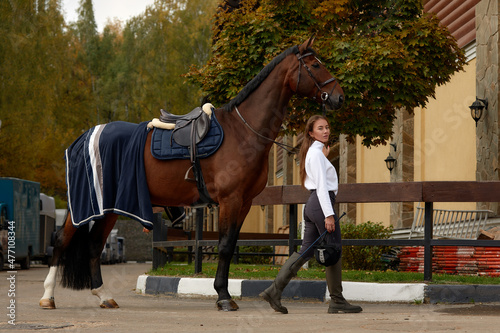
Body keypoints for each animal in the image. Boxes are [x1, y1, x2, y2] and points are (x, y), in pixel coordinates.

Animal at [40, 37, 344, 312]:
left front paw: (224, 293)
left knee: (93, 245)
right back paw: (48, 297)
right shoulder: (230, 200)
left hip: (111, 207)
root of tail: (83, 138)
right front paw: (223, 297)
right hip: (84, 205)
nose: (339, 96)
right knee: (62, 241)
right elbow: (224, 246)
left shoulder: (244, 202)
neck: (242, 132)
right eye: (315, 65)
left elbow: (231, 245)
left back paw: (104, 296)